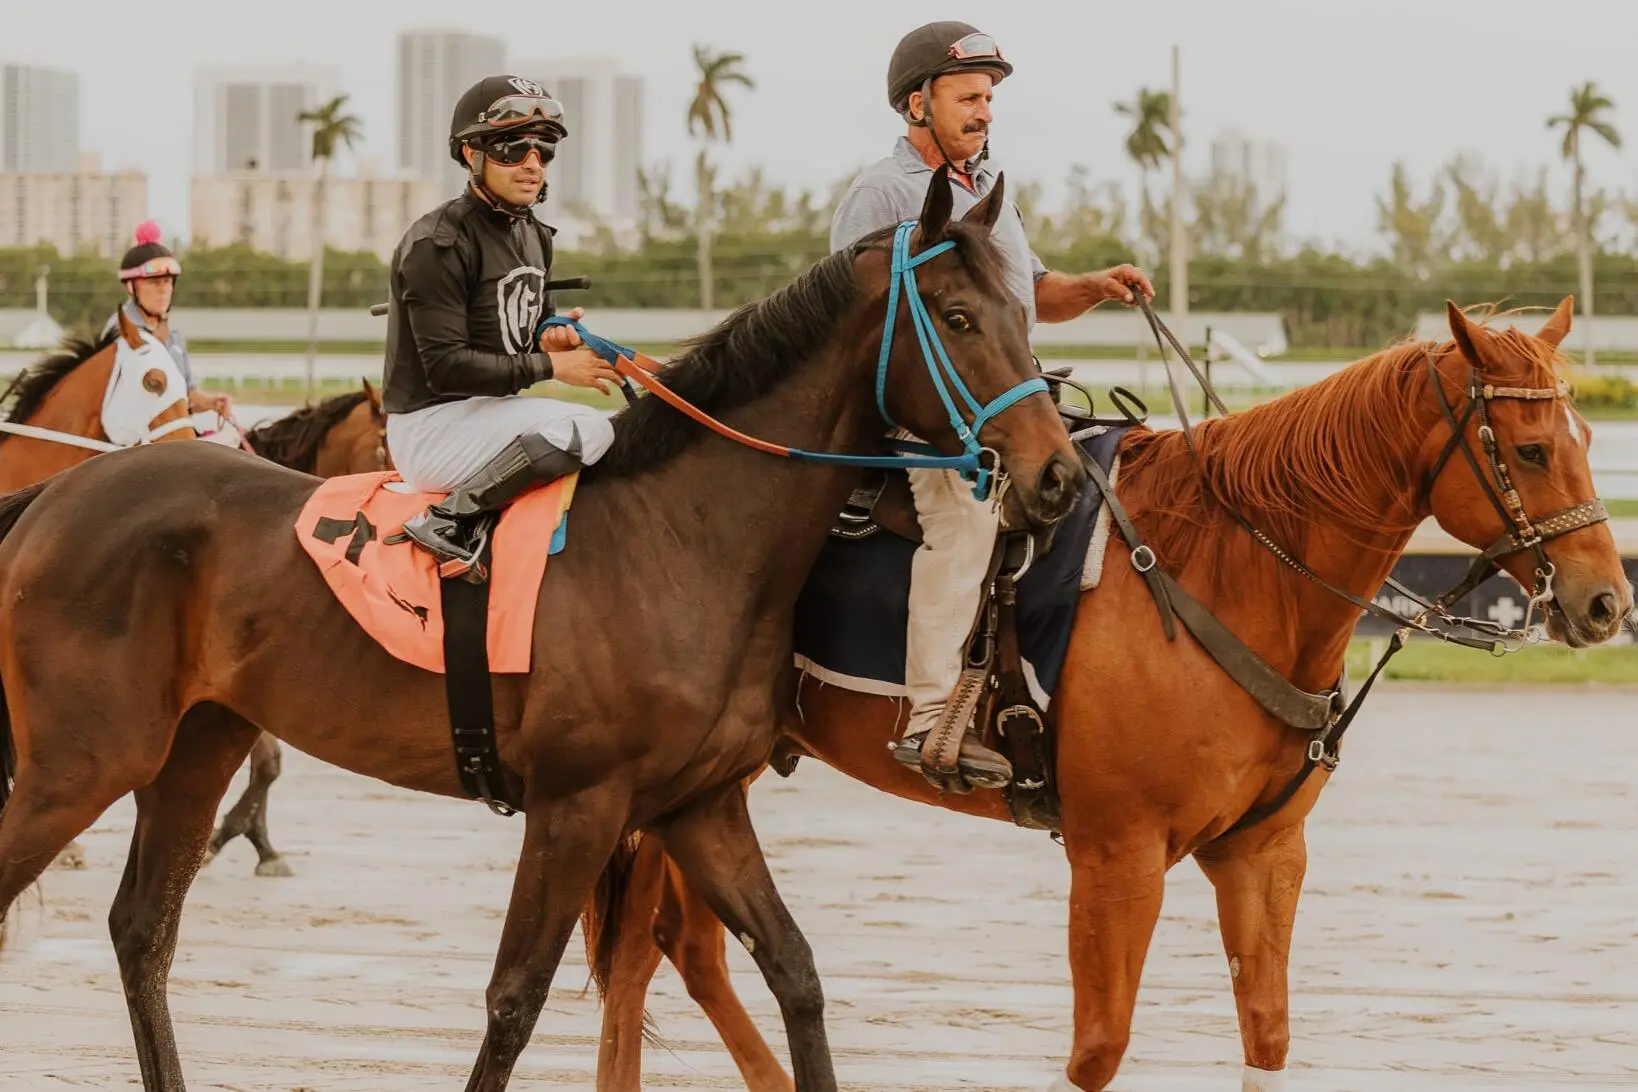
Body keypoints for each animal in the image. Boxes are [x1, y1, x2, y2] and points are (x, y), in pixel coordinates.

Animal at [0, 172, 1088, 1091]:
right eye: (958, 317)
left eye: (1021, 311)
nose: (1058, 476)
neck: (683, 536)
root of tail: (53, 495)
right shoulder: (577, 805)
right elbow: (514, 1001)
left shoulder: (698, 807)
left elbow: (798, 974)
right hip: (84, 759)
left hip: (195, 743)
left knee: (143, 931)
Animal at [577, 297, 1634, 1092]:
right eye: (1530, 449)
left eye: (1587, 433)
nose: (1605, 601)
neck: (1226, 571)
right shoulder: (1116, 858)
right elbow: (1098, 1050)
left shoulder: (1262, 854)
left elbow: (1266, 1035)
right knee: (639, 956)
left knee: (676, 948)